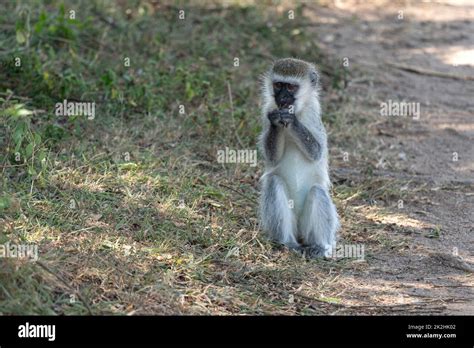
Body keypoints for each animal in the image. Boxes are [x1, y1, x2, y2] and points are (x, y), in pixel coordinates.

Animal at [258, 57, 338, 258]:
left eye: (291, 87)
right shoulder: (267, 110)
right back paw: (288, 243)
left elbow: (317, 152)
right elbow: (272, 158)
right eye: (278, 85)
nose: (281, 99)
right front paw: (276, 120)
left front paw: (292, 120)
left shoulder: (313, 115)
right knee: (274, 182)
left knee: (318, 192)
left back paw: (321, 247)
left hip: (307, 226)